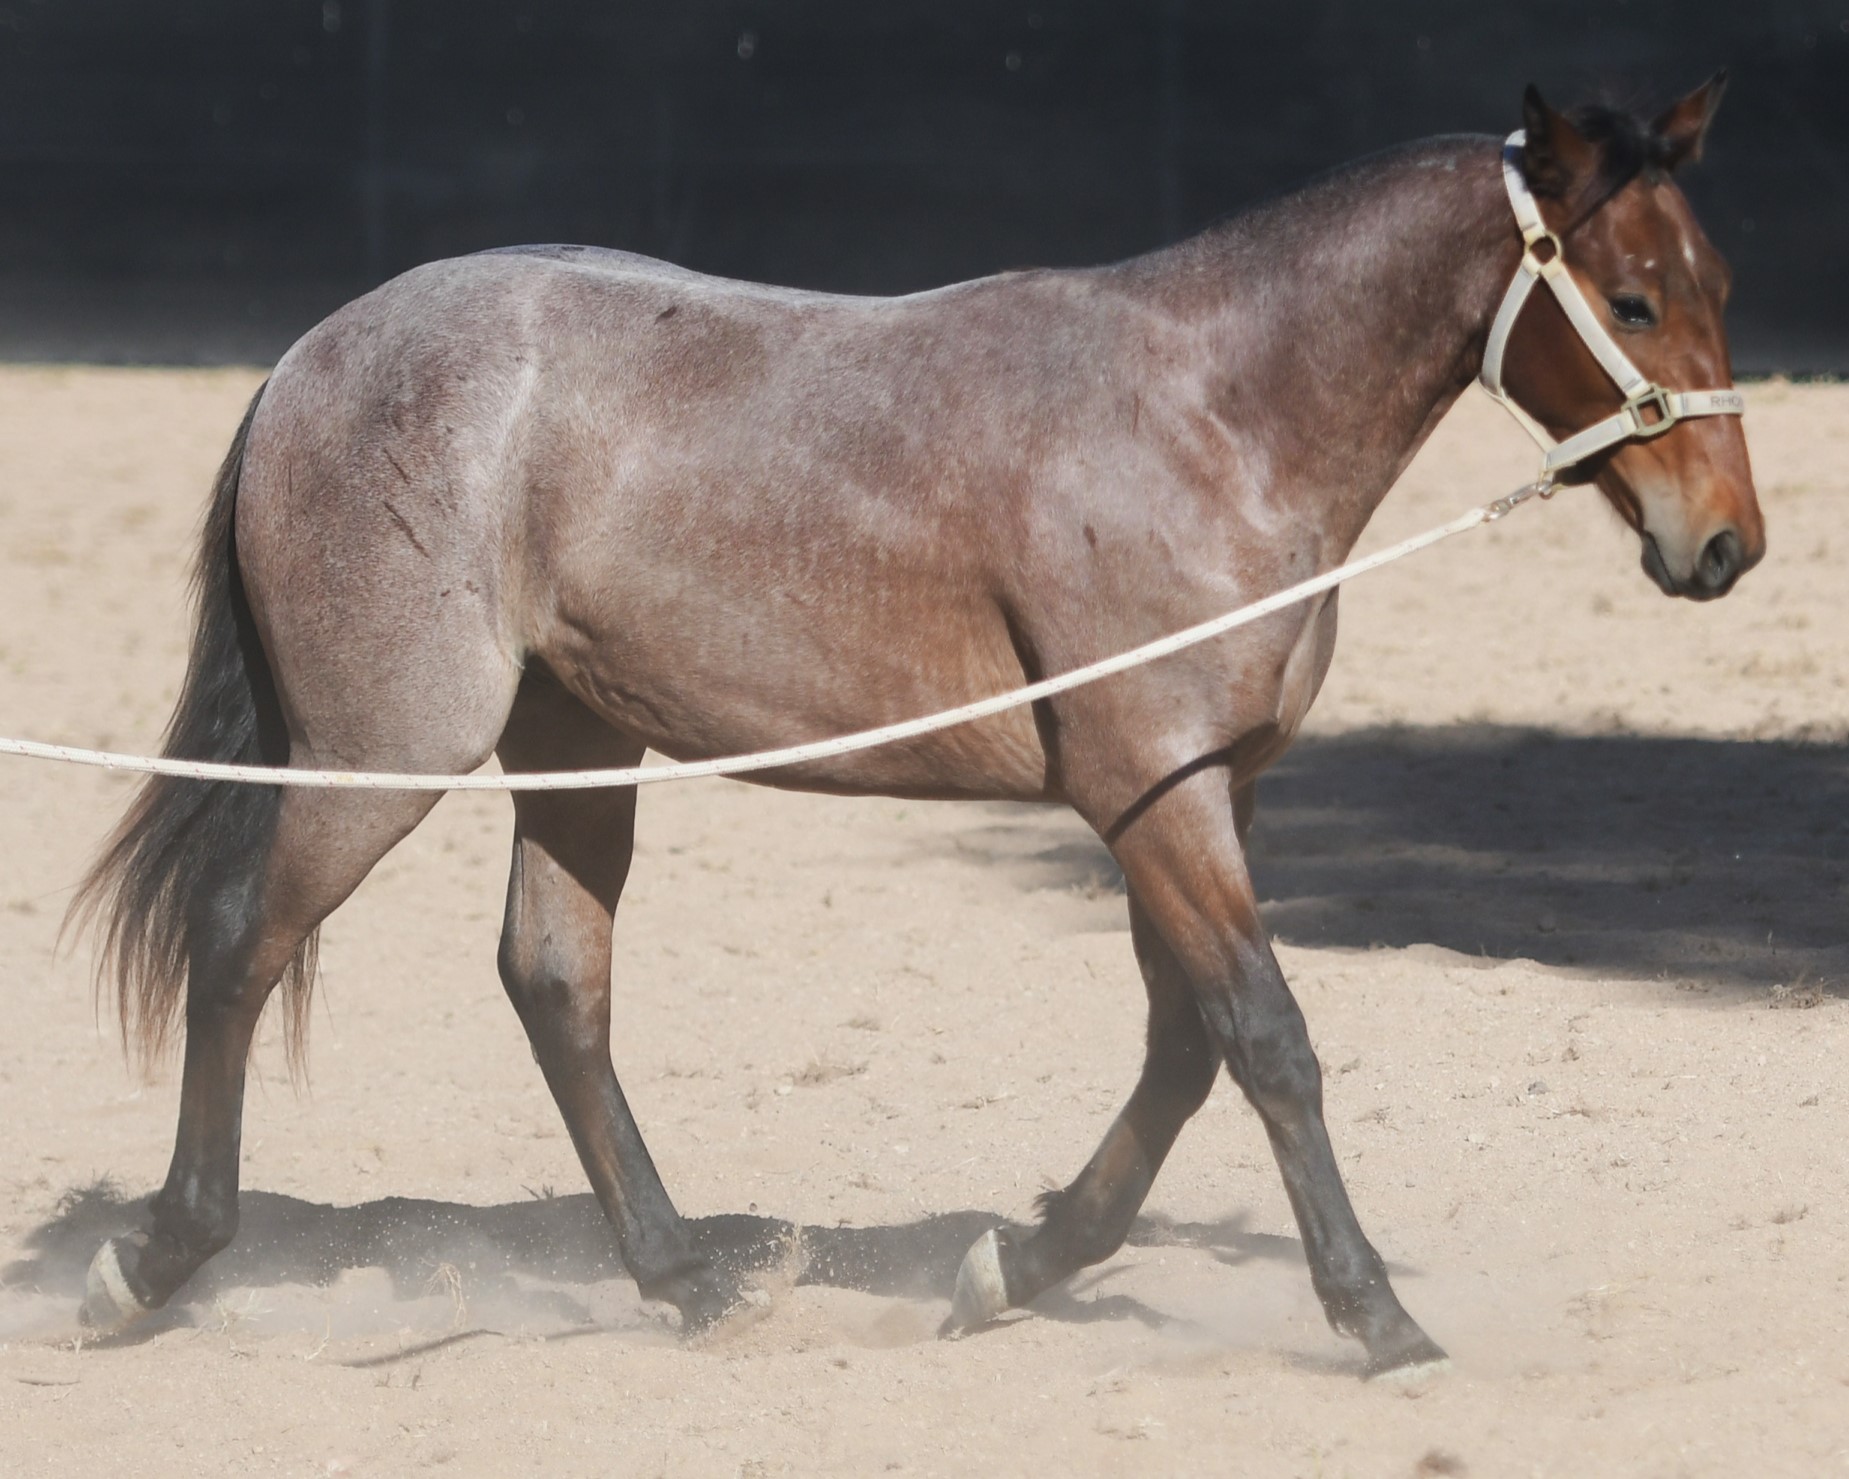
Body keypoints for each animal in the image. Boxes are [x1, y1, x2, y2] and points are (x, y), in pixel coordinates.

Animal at [71, 77, 1761, 1379]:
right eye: (1628, 297)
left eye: (1721, 286)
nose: (1725, 545)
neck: (1211, 419)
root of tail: (308, 359)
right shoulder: (1151, 795)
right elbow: (1265, 1038)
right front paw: (1377, 1316)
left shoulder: (1208, 793)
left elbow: (1183, 1047)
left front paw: (1021, 1259)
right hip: (383, 753)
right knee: (238, 941)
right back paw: (149, 1262)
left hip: (573, 747)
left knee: (554, 980)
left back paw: (687, 1275)